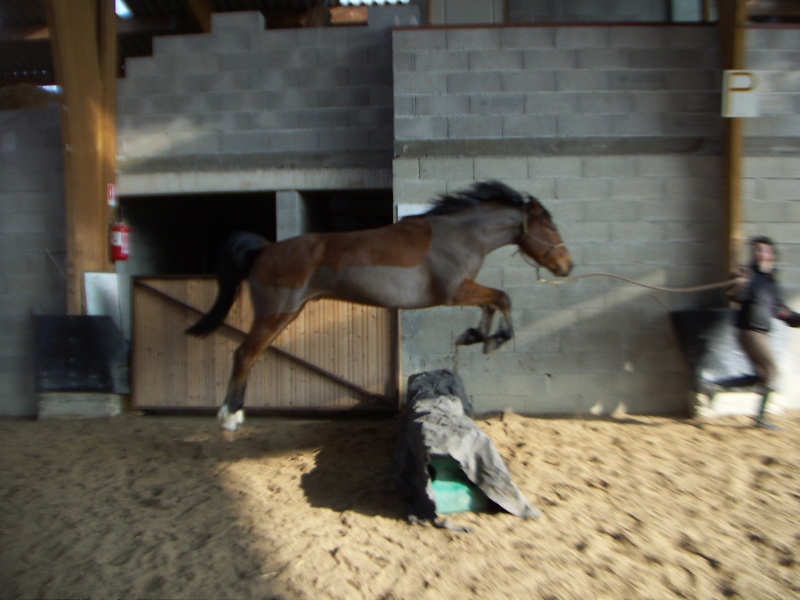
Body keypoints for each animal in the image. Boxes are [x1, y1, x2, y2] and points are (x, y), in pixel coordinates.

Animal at [188, 179, 572, 432]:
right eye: (550, 227)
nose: (567, 266)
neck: (459, 235)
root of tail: (263, 250)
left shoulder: (466, 291)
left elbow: (493, 304)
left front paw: (476, 337)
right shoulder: (456, 291)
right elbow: (503, 297)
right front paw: (493, 339)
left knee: (249, 356)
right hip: (275, 315)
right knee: (244, 355)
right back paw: (229, 417)